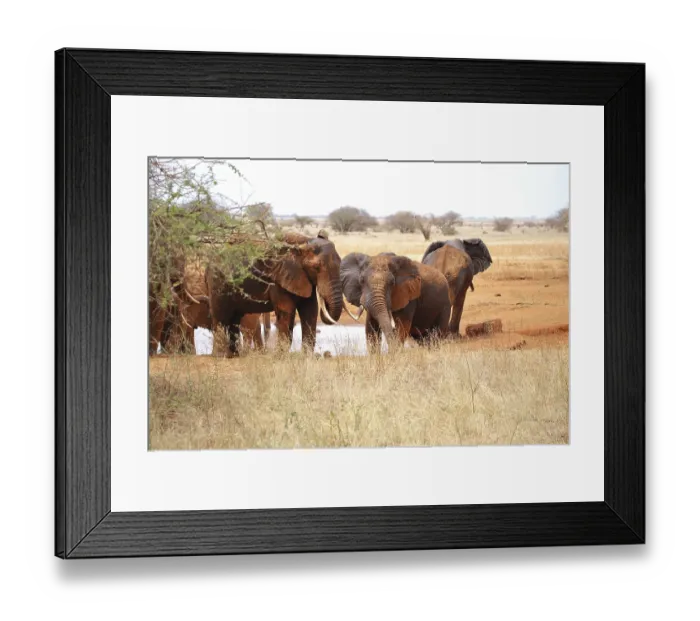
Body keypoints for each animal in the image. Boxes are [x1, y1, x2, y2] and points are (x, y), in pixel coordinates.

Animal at [205, 231, 350, 357]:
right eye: (316, 268)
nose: (326, 304)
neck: (304, 241)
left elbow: (310, 310)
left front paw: (306, 356)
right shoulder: (278, 279)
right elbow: (287, 310)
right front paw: (281, 356)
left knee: (234, 318)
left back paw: (234, 355)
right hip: (218, 284)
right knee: (221, 317)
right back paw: (221, 355)